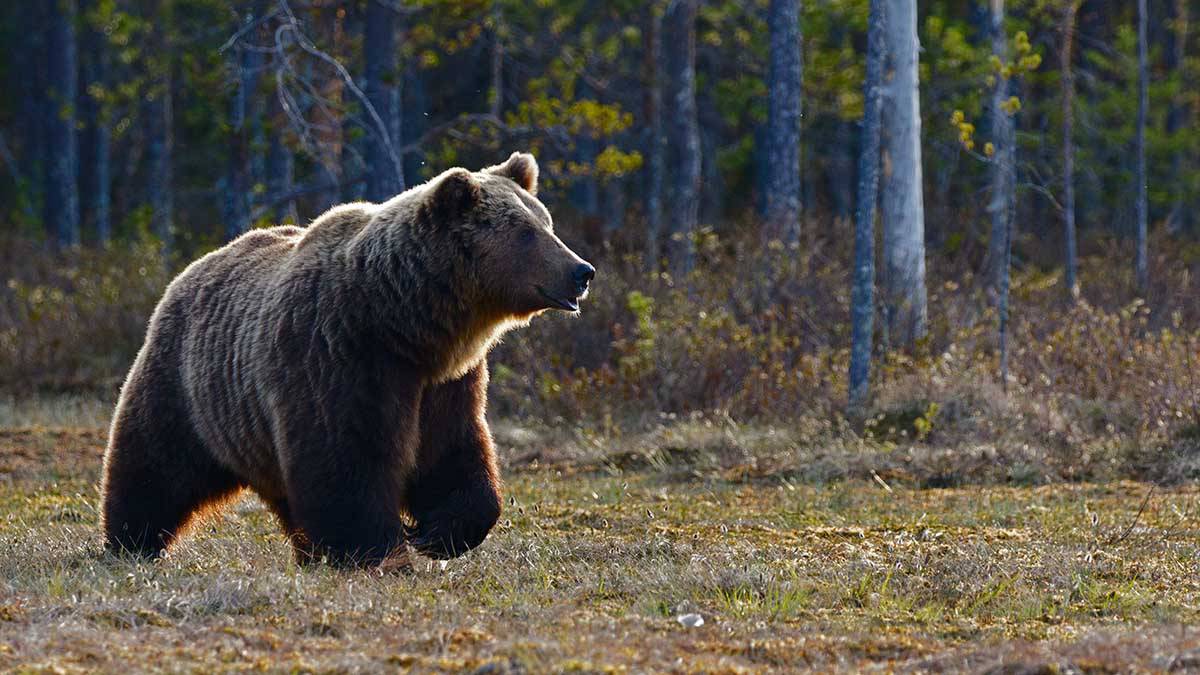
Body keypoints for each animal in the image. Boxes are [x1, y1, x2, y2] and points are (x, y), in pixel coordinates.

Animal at [100, 151, 592, 562]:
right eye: (526, 233)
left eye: (547, 223)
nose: (581, 270)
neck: (405, 323)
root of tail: (192, 268)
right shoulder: (338, 356)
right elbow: (346, 460)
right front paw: (377, 549)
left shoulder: (445, 382)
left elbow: (452, 452)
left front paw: (437, 533)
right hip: (188, 386)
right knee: (154, 464)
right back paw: (130, 542)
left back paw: (307, 552)